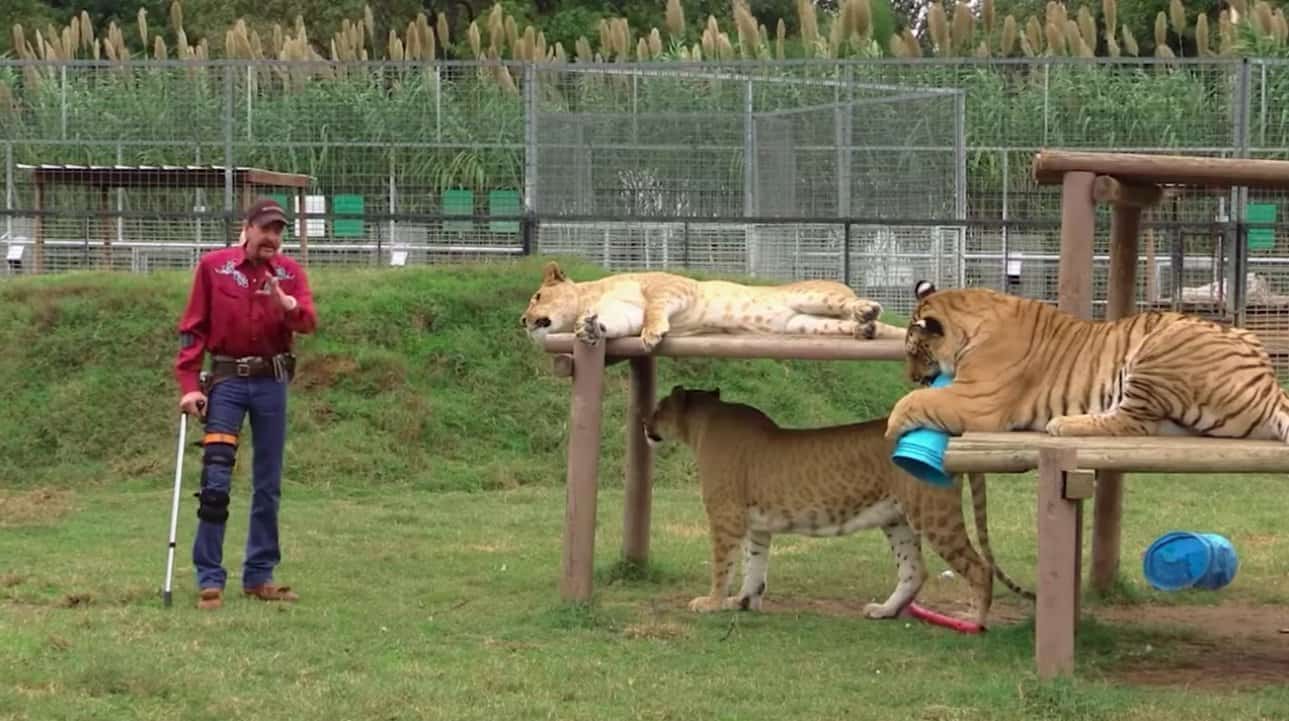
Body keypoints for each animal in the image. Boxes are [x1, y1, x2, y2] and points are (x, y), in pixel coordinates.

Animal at [645, 385, 1034, 627]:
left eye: (658, 408)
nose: (645, 423)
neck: (701, 424)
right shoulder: (756, 524)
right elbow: (754, 565)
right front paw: (743, 602)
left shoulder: (725, 516)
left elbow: (722, 564)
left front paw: (710, 603)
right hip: (897, 520)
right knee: (914, 570)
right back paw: (884, 611)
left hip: (934, 514)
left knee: (979, 568)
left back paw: (973, 621)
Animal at [885, 280, 1289, 443]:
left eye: (914, 352)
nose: (912, 376)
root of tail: (1269, 382)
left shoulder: (977, 401)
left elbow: (912, 402)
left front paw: (891, 432)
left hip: (1159, 350)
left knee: (1131, 423)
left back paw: (1063, 424)